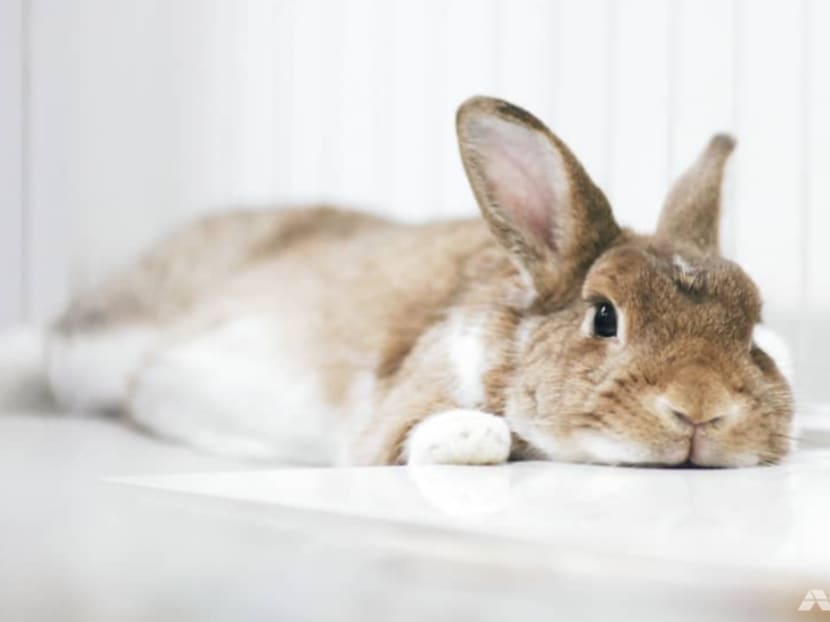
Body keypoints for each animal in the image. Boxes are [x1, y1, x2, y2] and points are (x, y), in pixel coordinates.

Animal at [43, 96, 793, 467]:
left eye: (754, 327)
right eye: (604, 316)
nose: (701, 411)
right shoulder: (403, 408)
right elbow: (459, 435)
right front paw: (471, 437)